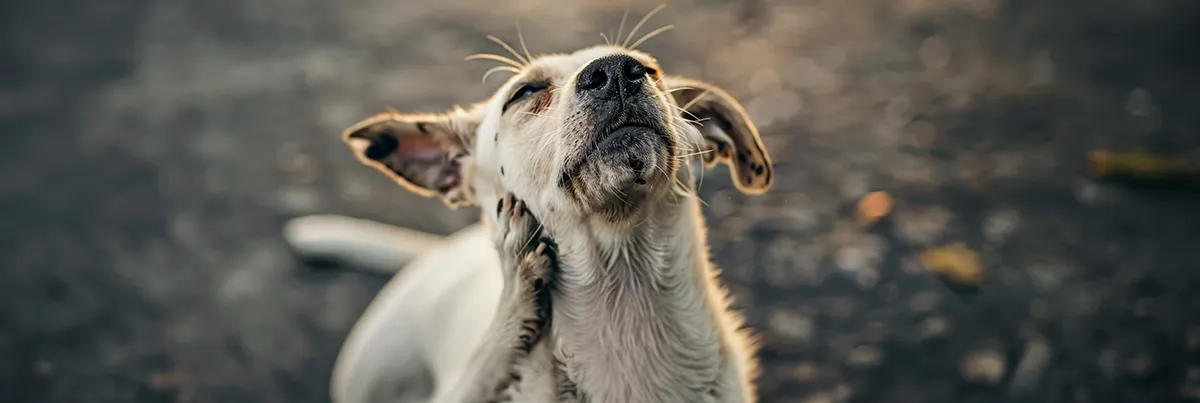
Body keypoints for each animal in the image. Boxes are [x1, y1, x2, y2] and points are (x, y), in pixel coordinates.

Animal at [290, 19, 777, 403]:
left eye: (651, 70)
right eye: (525, 92)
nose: (617, 70)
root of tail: (436, 253)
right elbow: (487, 359)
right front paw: (517, 288)